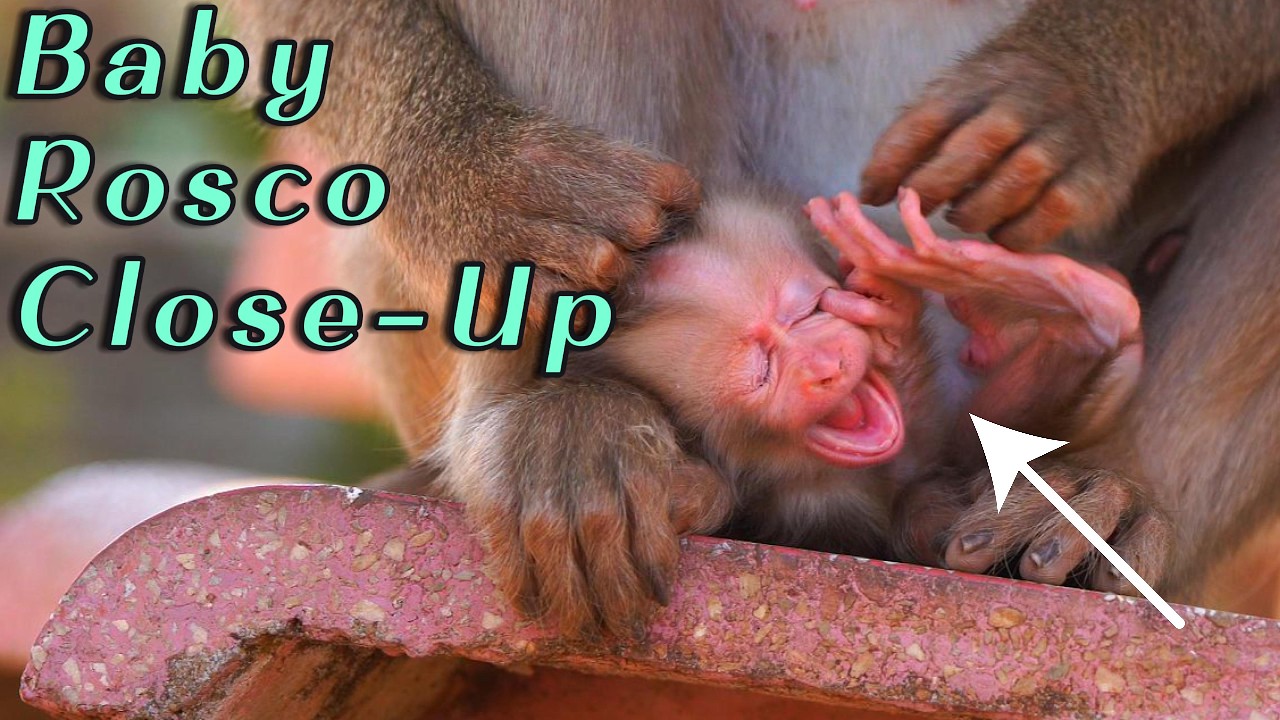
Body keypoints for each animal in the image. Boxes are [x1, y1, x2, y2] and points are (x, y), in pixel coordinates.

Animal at [226, 0, 1280, 634]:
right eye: (763, 366)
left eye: (813, 307)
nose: (825, 360)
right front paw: (494, 182)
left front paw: (1066, 93)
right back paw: (560, 412)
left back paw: (1105, 489)